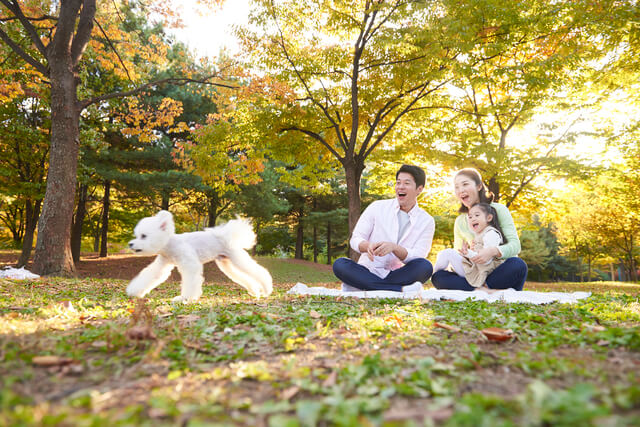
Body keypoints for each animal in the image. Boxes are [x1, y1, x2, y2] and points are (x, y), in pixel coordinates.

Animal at [127, 212, 272, 302]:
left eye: (144, 236)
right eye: (137, 235)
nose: (130, 244)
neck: (170, 243)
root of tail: (227, 236)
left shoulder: (190, 265)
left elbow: (190, 282)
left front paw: (185, 298)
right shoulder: (162, 264)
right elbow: (149, 276)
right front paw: (134, 291)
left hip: (237, 259)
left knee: (260, 272)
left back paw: (266, 290)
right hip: (227, 265)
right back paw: (255, 291)